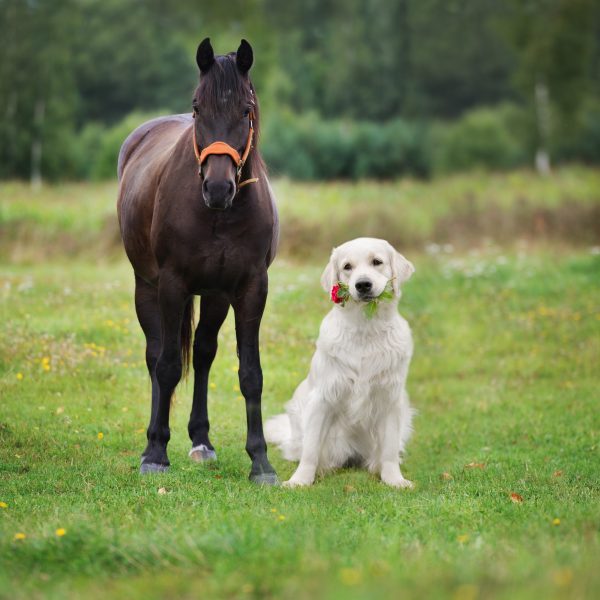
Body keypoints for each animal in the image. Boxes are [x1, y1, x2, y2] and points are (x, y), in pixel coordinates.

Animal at [116, 37, 278, 486]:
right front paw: (155, 453)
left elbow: (250, 373)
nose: (218, 188)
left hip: (215, 295)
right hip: (147, 285)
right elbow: (169, 365)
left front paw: (261, 462)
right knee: (156, 355)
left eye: (246, 109)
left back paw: (201, 441)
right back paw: (155, 439)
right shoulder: (172, 283)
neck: (220, 216)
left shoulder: (250, 289)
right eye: (197, 108)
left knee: (204, 352)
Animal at [264, 237, 414, 486]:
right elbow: (311, 450)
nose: (363, 285)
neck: (365, 328)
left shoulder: (390, 399)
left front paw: (394, 480)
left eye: (377, 262)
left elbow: (389, 450)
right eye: (347, 267)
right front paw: (300, 480)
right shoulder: (323, 398)